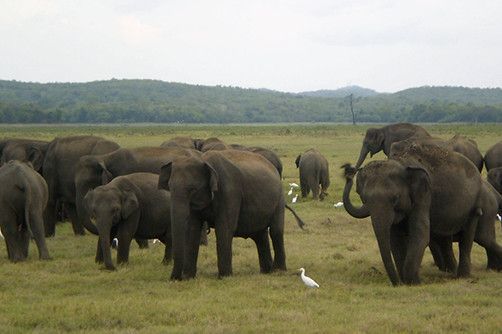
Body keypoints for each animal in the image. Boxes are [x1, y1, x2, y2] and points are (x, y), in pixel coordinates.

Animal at [159, 150, 304, 280]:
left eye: (192, 189)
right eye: (169, 188)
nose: (175, 278)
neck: (203, 159)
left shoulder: (229, 191)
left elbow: (224, 228)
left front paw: (224, 277)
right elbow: (192, 230)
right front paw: (189, 277)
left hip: (278, 199)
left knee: (275, 231)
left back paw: (277, 271)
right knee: (260, 235)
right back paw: (266, 271)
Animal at [342, 140, 502, 286]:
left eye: (395, 198)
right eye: (363, 198)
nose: (348, 170)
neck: (401, 162)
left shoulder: (424, 195)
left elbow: (420, 233)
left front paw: (414, 282)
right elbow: (395, 238)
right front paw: (406, 281)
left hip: (475, 205)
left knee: (478, 238)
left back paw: (464, 276)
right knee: (450, 239)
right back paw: (458, 271)